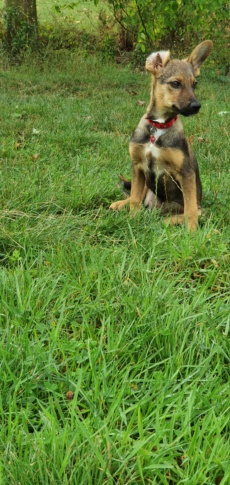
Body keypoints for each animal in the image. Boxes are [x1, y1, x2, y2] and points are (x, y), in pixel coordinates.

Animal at [110, 40, 213, 231]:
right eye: (175, 83)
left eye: (195, 84)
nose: (197, 106)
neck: (159, 126)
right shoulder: (137, 165)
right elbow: (135, 198)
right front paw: (132, 219)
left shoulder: (186, 173)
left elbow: (190, 210)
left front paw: (192, 233)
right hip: (145, 181)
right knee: (138, 197)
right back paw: (121, 204)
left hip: (189, 206)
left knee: (185, 212)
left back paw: (166, 221)